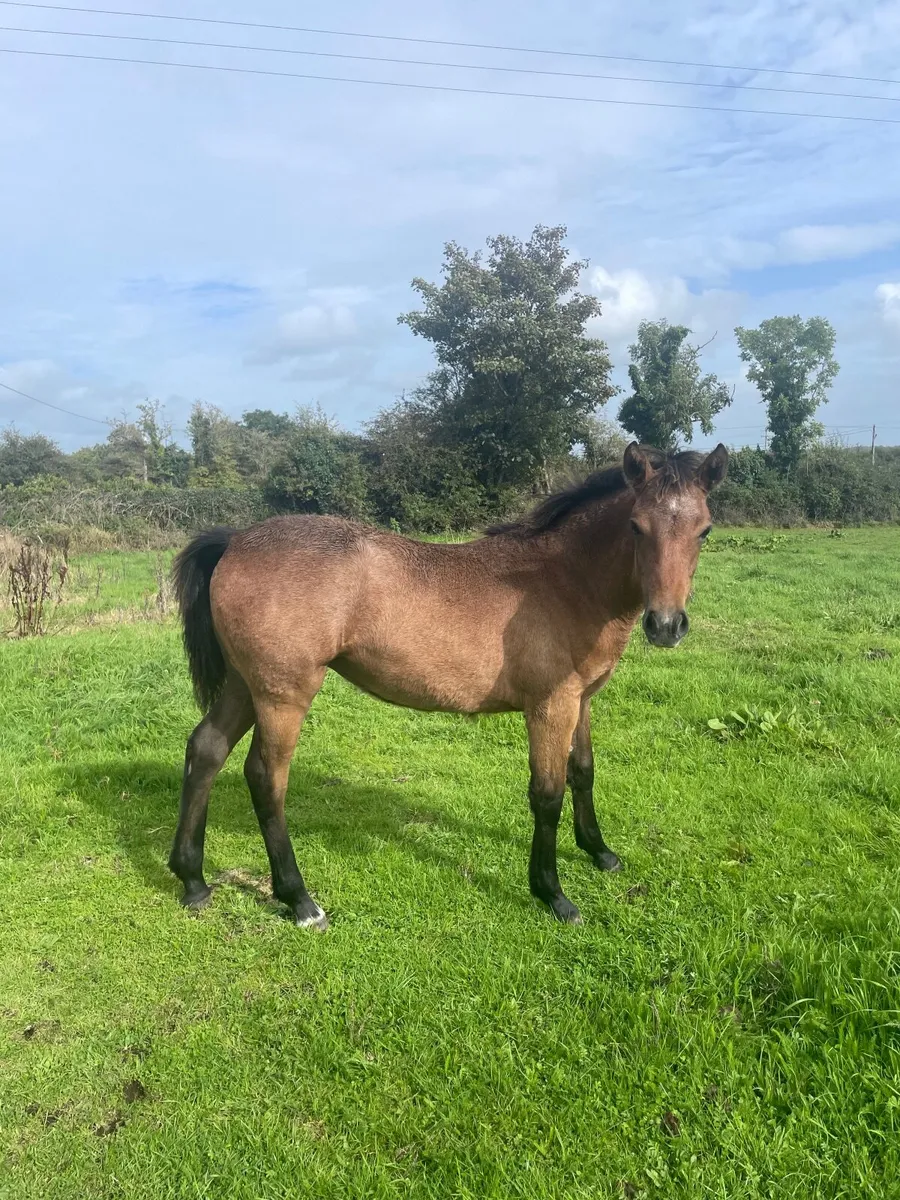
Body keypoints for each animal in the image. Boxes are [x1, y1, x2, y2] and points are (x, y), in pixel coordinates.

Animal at [169, 440, 728, 929]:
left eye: (704, 530)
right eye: (636, 526)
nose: (666, 625)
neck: (564, 580)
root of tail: (236, 540)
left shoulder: (581, 701)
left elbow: (583, 773)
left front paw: (600, 852)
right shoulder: (550, 707)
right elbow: (547, 794)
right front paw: (552, 893)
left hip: (244, 685)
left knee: (206, 749)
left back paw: (192, 880)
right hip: (283, 694)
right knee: (266, 778)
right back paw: (300, 900)